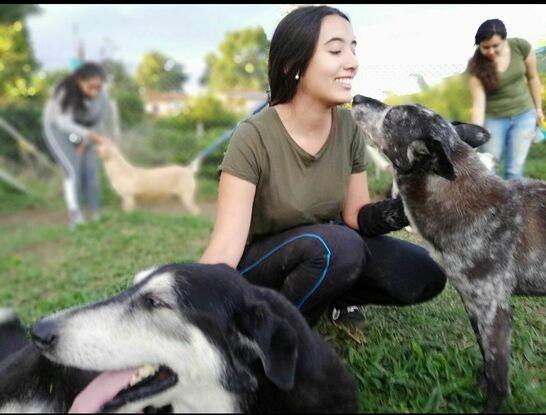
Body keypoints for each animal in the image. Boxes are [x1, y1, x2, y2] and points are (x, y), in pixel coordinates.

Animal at [350, 95, 540, 412]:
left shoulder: (494, 312)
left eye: (391, 117)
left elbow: (498, 377)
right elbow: (486, 359)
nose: (356, 97)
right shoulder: (473, 304)